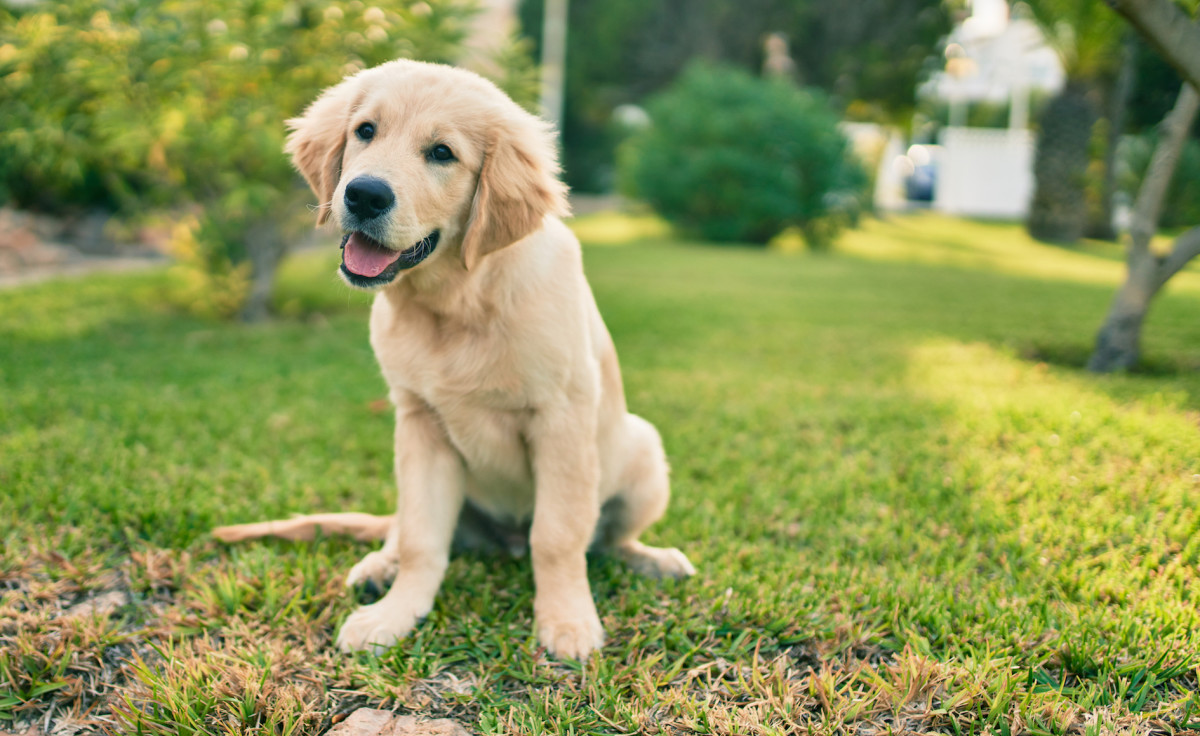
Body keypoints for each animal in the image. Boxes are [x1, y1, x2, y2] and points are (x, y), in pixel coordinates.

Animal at [211, 60, 691, 657]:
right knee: (401, 528)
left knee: (606, 541)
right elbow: (423, 539)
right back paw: (378, 567)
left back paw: (654, 559)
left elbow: (558, 536)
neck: (456, 302)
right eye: (365, 131)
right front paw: (395, 615)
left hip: (643, 452)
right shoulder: (420, 423)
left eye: (442, 153)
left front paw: (567, 622)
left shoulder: (561, 419)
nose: (364, 195)